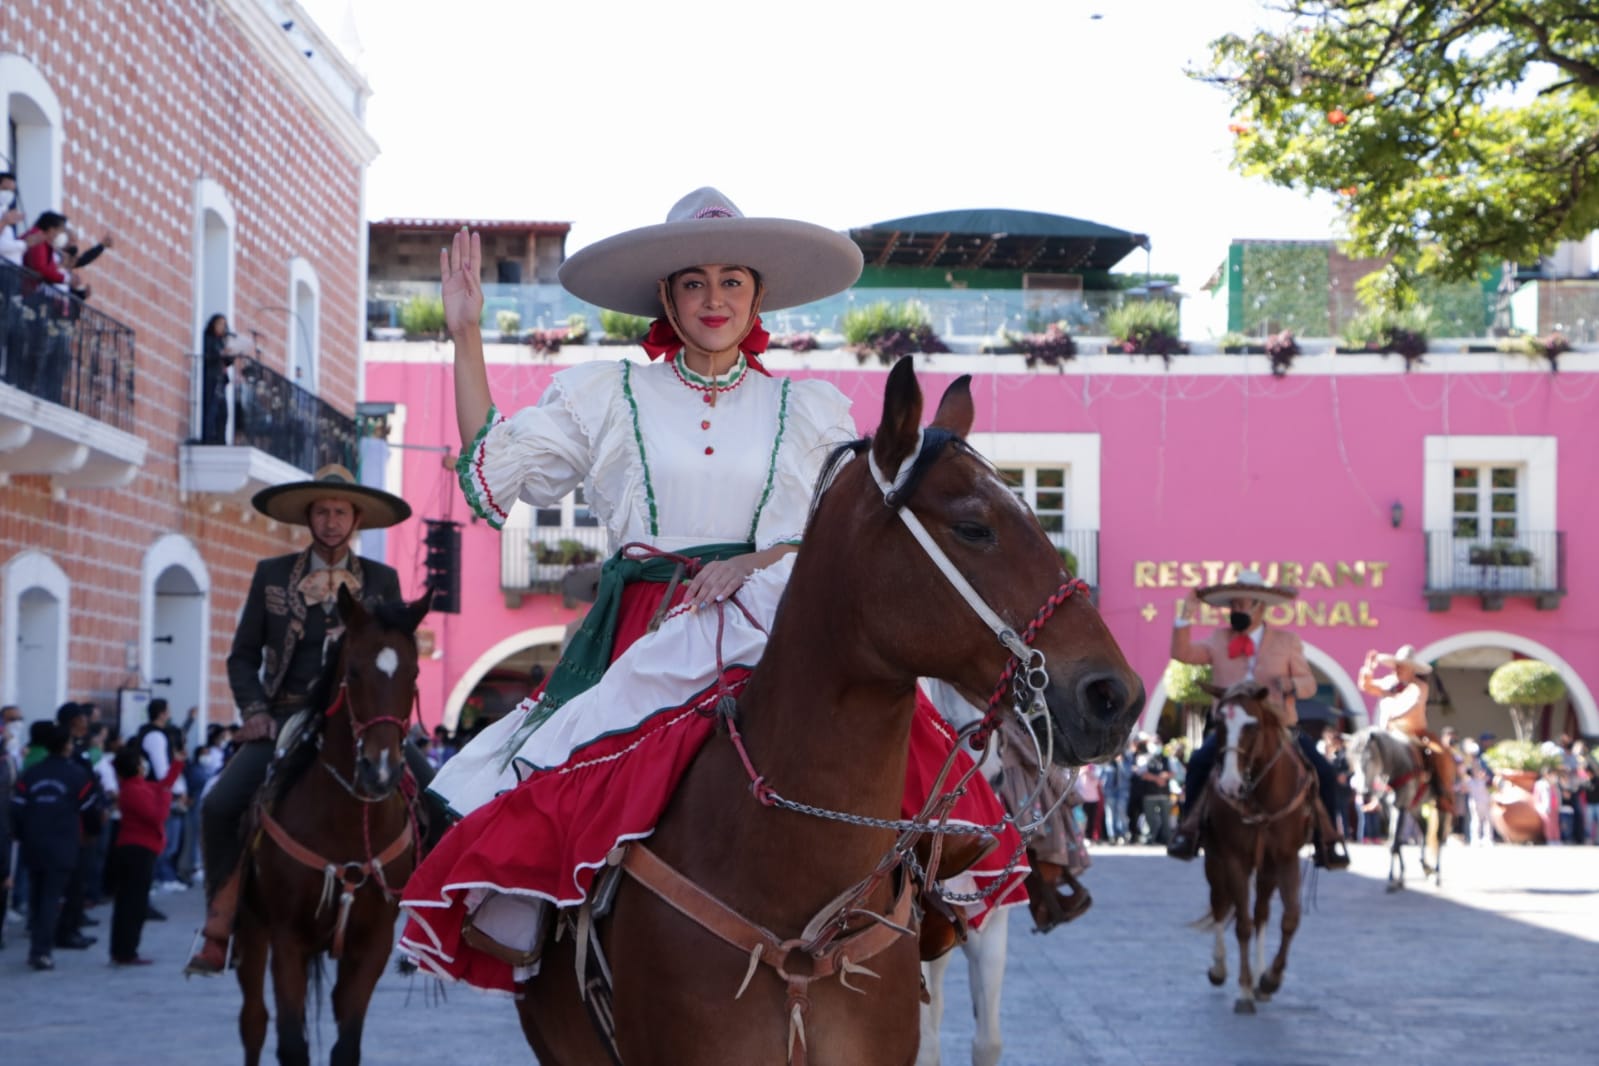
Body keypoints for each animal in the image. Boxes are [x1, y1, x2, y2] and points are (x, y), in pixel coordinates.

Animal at [233, 591, 428, 1066]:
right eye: (353, 671)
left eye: (414, 673)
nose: (380, 771)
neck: (347, 823)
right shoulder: (287, 939)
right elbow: (290, 1044)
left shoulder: (371, 944)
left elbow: (347, 1045)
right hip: (251, 926)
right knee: (253, 1021)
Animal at [1202, 684, 1311, 1016]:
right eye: (1218, 725)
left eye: (1253, 726)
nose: (1230, 785)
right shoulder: (1233, 859)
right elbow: (1242, 925)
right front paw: (1244, 989)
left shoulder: (1286, 858)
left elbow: (1290, 918)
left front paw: (1270, 979)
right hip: (1215, 862)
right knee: (1220, 905)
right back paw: (1220, 969)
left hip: (1267, 869)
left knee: (1262, 912)